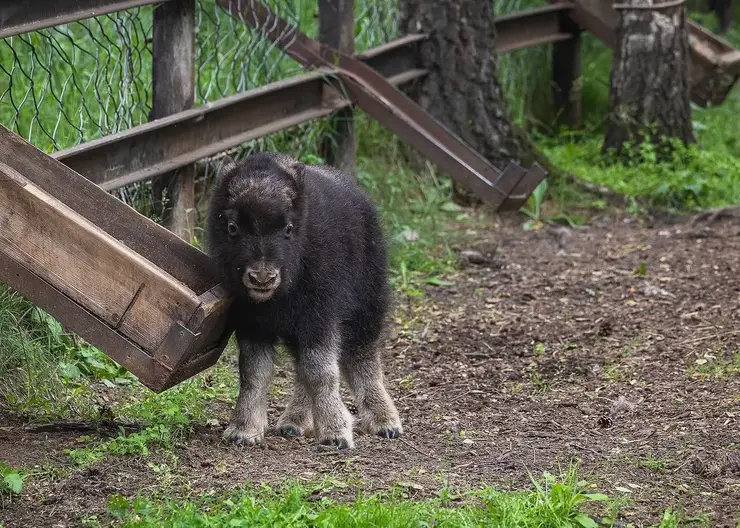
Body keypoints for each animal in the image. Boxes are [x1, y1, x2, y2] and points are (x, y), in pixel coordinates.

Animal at [208, 153, 402, 450]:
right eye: (233, 227)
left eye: (288, 228)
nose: (262, 277)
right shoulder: (251, 325)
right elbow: (254, 373)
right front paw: (243, 430)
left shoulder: (319, 320)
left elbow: (320, 373)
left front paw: (335, 433)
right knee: (302, 369)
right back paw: (294, 422)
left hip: (366, 309)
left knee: (363, 357)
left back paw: (385, 422)